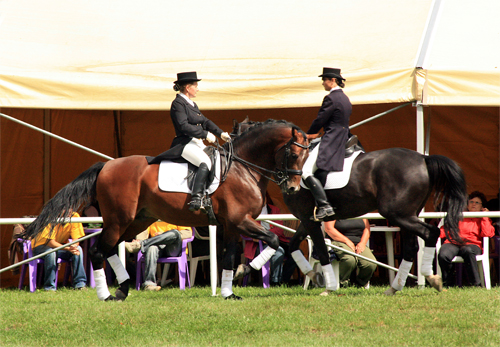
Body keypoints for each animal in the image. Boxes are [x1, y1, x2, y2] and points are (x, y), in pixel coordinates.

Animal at [26, 119, 312, 302]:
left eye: (307, 157)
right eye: (294, 155)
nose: (294, 188)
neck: (243, 167)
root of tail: (106, 166)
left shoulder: (232, 225)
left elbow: (230, 258)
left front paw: (229, 292)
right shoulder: (241, 221)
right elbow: (273, 240)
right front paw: (245, 272)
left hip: (136, 222)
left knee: (109, 250)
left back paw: (123, 290)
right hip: (119, 220)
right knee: (98, 251)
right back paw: (107, 295)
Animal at [232, 119, 466, 296]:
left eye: (294, 155)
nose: (291, 187)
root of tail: (423, 159)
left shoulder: (309, 219)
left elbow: (321, 251)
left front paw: (329, 287)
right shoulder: (307, 219)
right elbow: (293, 246)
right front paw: (315, 276)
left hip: (399, 215)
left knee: (430, 233)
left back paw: (432, 278)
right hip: (407, 215)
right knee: (411, 248)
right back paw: (394, 288)